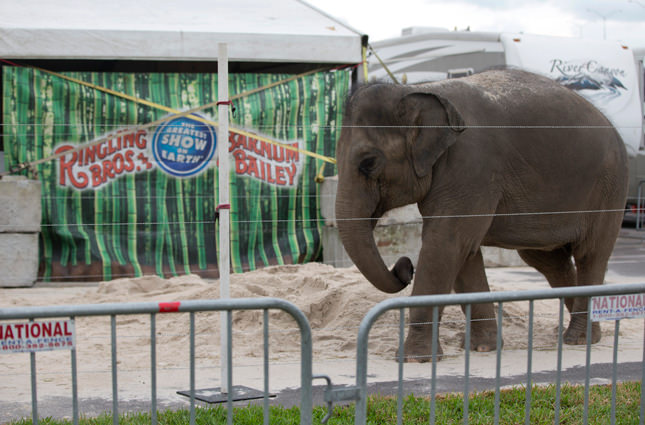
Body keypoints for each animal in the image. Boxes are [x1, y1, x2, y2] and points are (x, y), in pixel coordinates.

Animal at [334, 69, 628, 362]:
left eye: (369, 163)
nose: (404, 267)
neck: (416, 89)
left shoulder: (472, 167)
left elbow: (446, 244)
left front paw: (414, 358)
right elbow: (465, 252)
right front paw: (483, 347)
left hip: (609, 189)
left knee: (590, 254)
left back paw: (579, 338)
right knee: (548, 260)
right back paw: (575, 330)